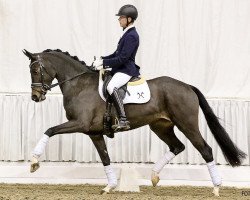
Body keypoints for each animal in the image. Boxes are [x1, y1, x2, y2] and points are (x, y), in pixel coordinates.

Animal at [23, 48, 246, 195]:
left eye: (35, 70)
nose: (35, 97)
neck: (79, 85)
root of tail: (187, 86)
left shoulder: (81, 123)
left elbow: (49, 130)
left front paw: (34, 162)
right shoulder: (94, 133)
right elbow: (105, 158)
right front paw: (110, 186)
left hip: (187, 124)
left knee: (205, 150)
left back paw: (216, 187)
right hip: (160, 126)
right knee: (177, 146)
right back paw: (154, 176)